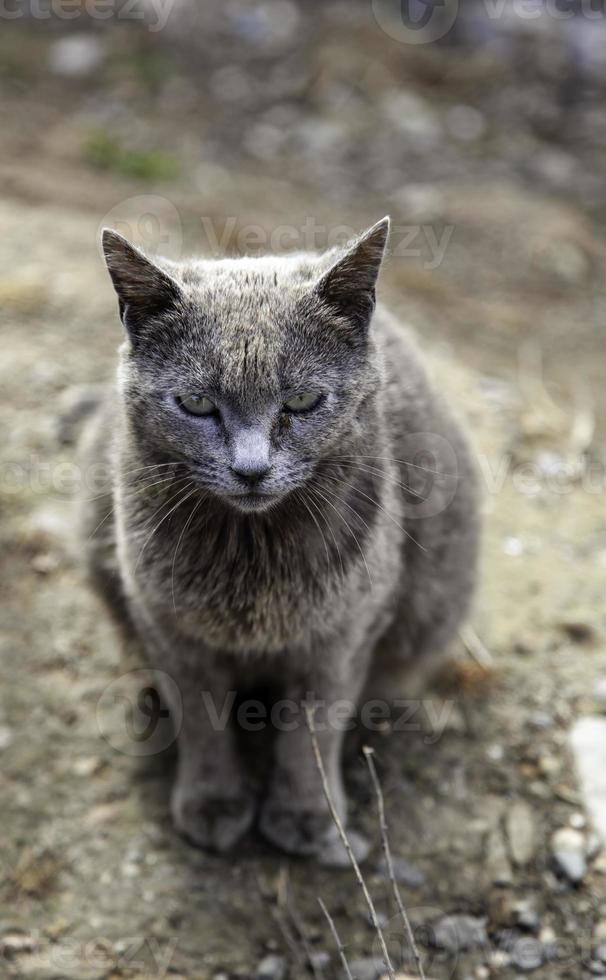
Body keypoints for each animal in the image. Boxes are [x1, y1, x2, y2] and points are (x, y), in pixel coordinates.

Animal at [79, 218, 480, 860]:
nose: (251, 469)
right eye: (196, 403)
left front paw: (307, 816)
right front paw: (212, 804)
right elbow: (202, 720)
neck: (251, 557)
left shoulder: (344, 634)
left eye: (302, 400)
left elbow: (310, 731)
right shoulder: (169, 628)